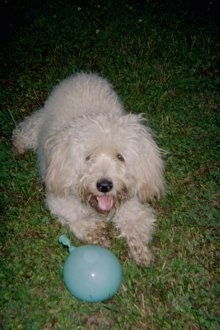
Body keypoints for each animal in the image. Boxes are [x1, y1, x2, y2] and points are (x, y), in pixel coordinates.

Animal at [12, 72, 163, 266]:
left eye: (120, 157)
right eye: (88, 157)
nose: (104, 186)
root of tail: (83, 75)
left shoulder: (133, 202)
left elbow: (138, 223)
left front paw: (141, 251)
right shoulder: (59, 199)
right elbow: (77, 218)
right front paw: (98, 233)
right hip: (38, 123)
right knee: (28, 128)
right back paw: (18, 145)